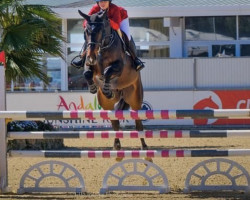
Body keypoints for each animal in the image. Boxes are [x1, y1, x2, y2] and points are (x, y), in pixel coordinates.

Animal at [77, 10, 150, 162]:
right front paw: (94, 88)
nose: (92, 55)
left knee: (138, 124)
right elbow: (87, 72)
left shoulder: (119, 66)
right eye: (86, 31)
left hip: (135, 99)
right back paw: (117, 147)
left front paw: (107, 88)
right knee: (115, 123)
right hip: (107, 105)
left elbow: (107, 71)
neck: (103, 48)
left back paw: (145, 148)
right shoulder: (89, 64)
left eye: (100, 30)